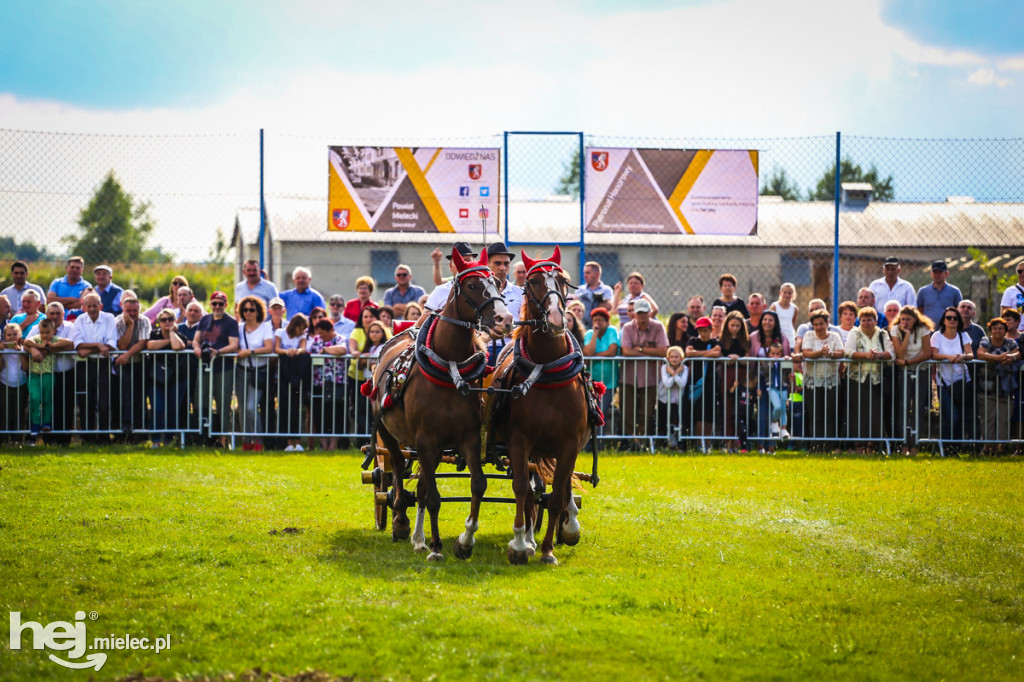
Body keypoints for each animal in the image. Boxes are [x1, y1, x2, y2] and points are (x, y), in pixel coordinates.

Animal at [368, 244, 512, 557]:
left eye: (496, 283)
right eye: (472, 285)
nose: (505, 320)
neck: (450, 365)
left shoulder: (469, 437)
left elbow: (477, 484)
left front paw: (464, 541)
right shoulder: (426, 440)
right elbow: (433, 496)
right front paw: (435, 547)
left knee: (421, 483)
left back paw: (418, 537)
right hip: (390, 431)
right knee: (398, 467)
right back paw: (401, 522)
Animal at [487, 244, 593, 561]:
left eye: (562, 280)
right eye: (533, 282)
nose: (557, 319)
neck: (546, 370)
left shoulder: (569, 444)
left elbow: (557, 494)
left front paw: (548, 550)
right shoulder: (519, 441)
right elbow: (521, 489)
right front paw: (521, 545)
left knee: (557, 487)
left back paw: (567, 528)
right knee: (532, 491)